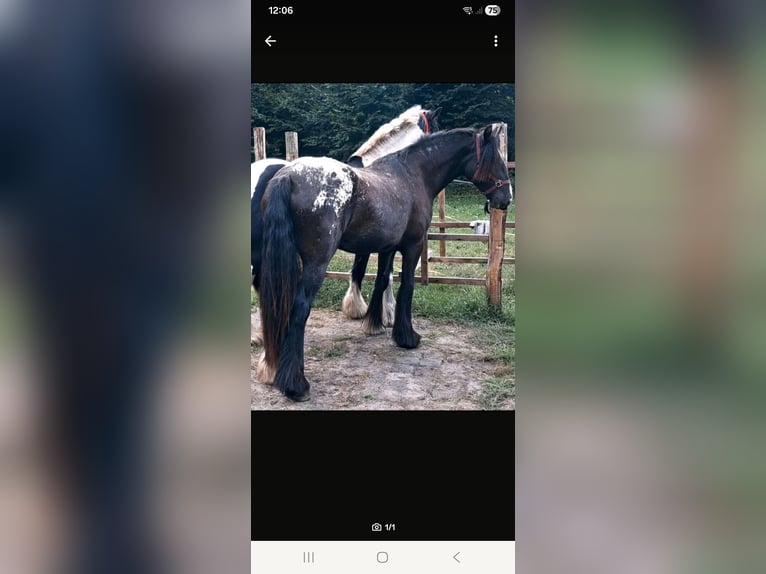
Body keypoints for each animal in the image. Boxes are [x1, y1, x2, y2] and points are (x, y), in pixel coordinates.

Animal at [257, 124, 512, 401]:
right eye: (497, 160)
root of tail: (288, 177)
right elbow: (406, 287)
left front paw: (373, 324)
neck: (413, 175)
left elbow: (381, 281)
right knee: (299, 309)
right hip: (316, 264)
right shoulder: (412, 247)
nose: (506, 199)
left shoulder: (387, 248)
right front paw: (406, 337)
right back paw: (296, 384)